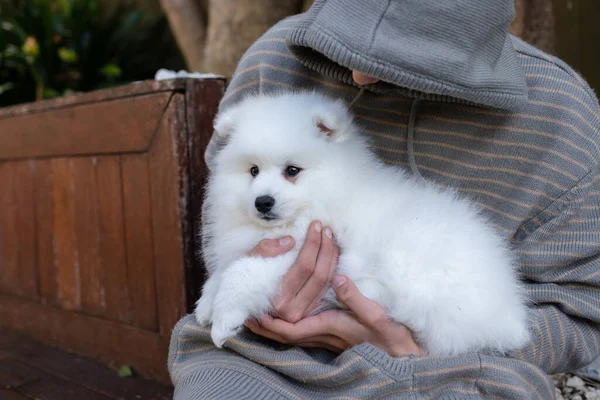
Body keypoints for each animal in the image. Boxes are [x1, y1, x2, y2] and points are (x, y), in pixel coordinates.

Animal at [193, 91, 528, 356]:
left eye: (292, 170)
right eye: (253, 170)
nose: (262, 201)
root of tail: (508, 313)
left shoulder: (300, 250)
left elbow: (242, 272)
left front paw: (224, 319)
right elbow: (222, 272)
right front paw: (206, 306)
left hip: (411, 251)